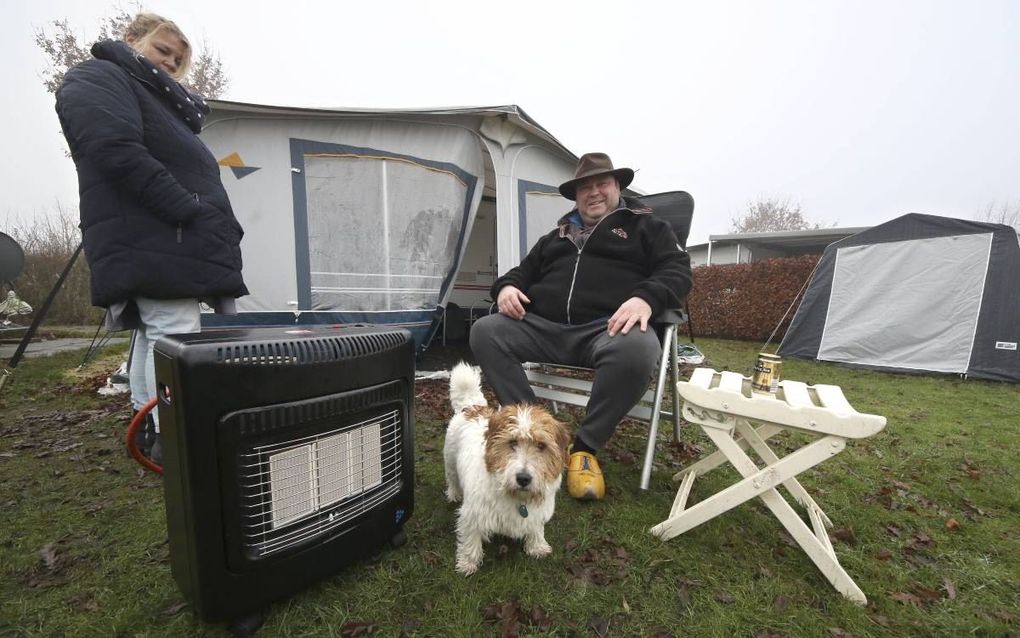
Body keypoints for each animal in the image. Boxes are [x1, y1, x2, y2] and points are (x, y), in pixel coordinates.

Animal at [442, 361, 571, 575]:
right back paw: (453, 493)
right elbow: (470, 538)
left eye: (541, 446)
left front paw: (537, 546)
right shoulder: (472, 514)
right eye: (512, 443)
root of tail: (473, 407)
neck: (516, 496)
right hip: (450, 461)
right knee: (451, 478)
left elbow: (536, 528)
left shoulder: (536, 513)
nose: (523, 479)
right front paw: (468, 563)